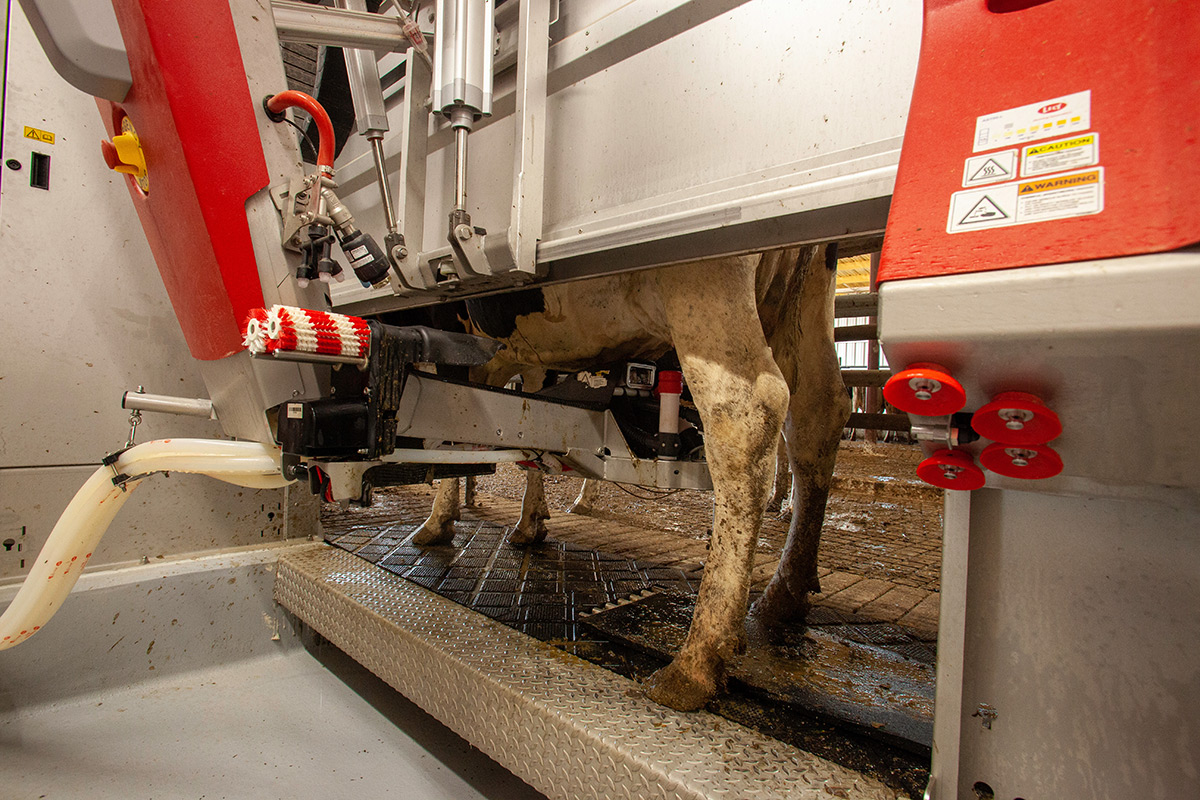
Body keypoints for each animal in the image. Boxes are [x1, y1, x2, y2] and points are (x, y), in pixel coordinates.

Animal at [403, 247, 844, 710]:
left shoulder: (453, 327)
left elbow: (453, 419)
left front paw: (438, 521)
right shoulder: (527, 354)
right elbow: (528, 422)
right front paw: (530, 521)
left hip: (704, 286)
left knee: (748, 414)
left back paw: (696, 660)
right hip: (808, 303)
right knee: (819, 414)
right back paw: (784, 594)